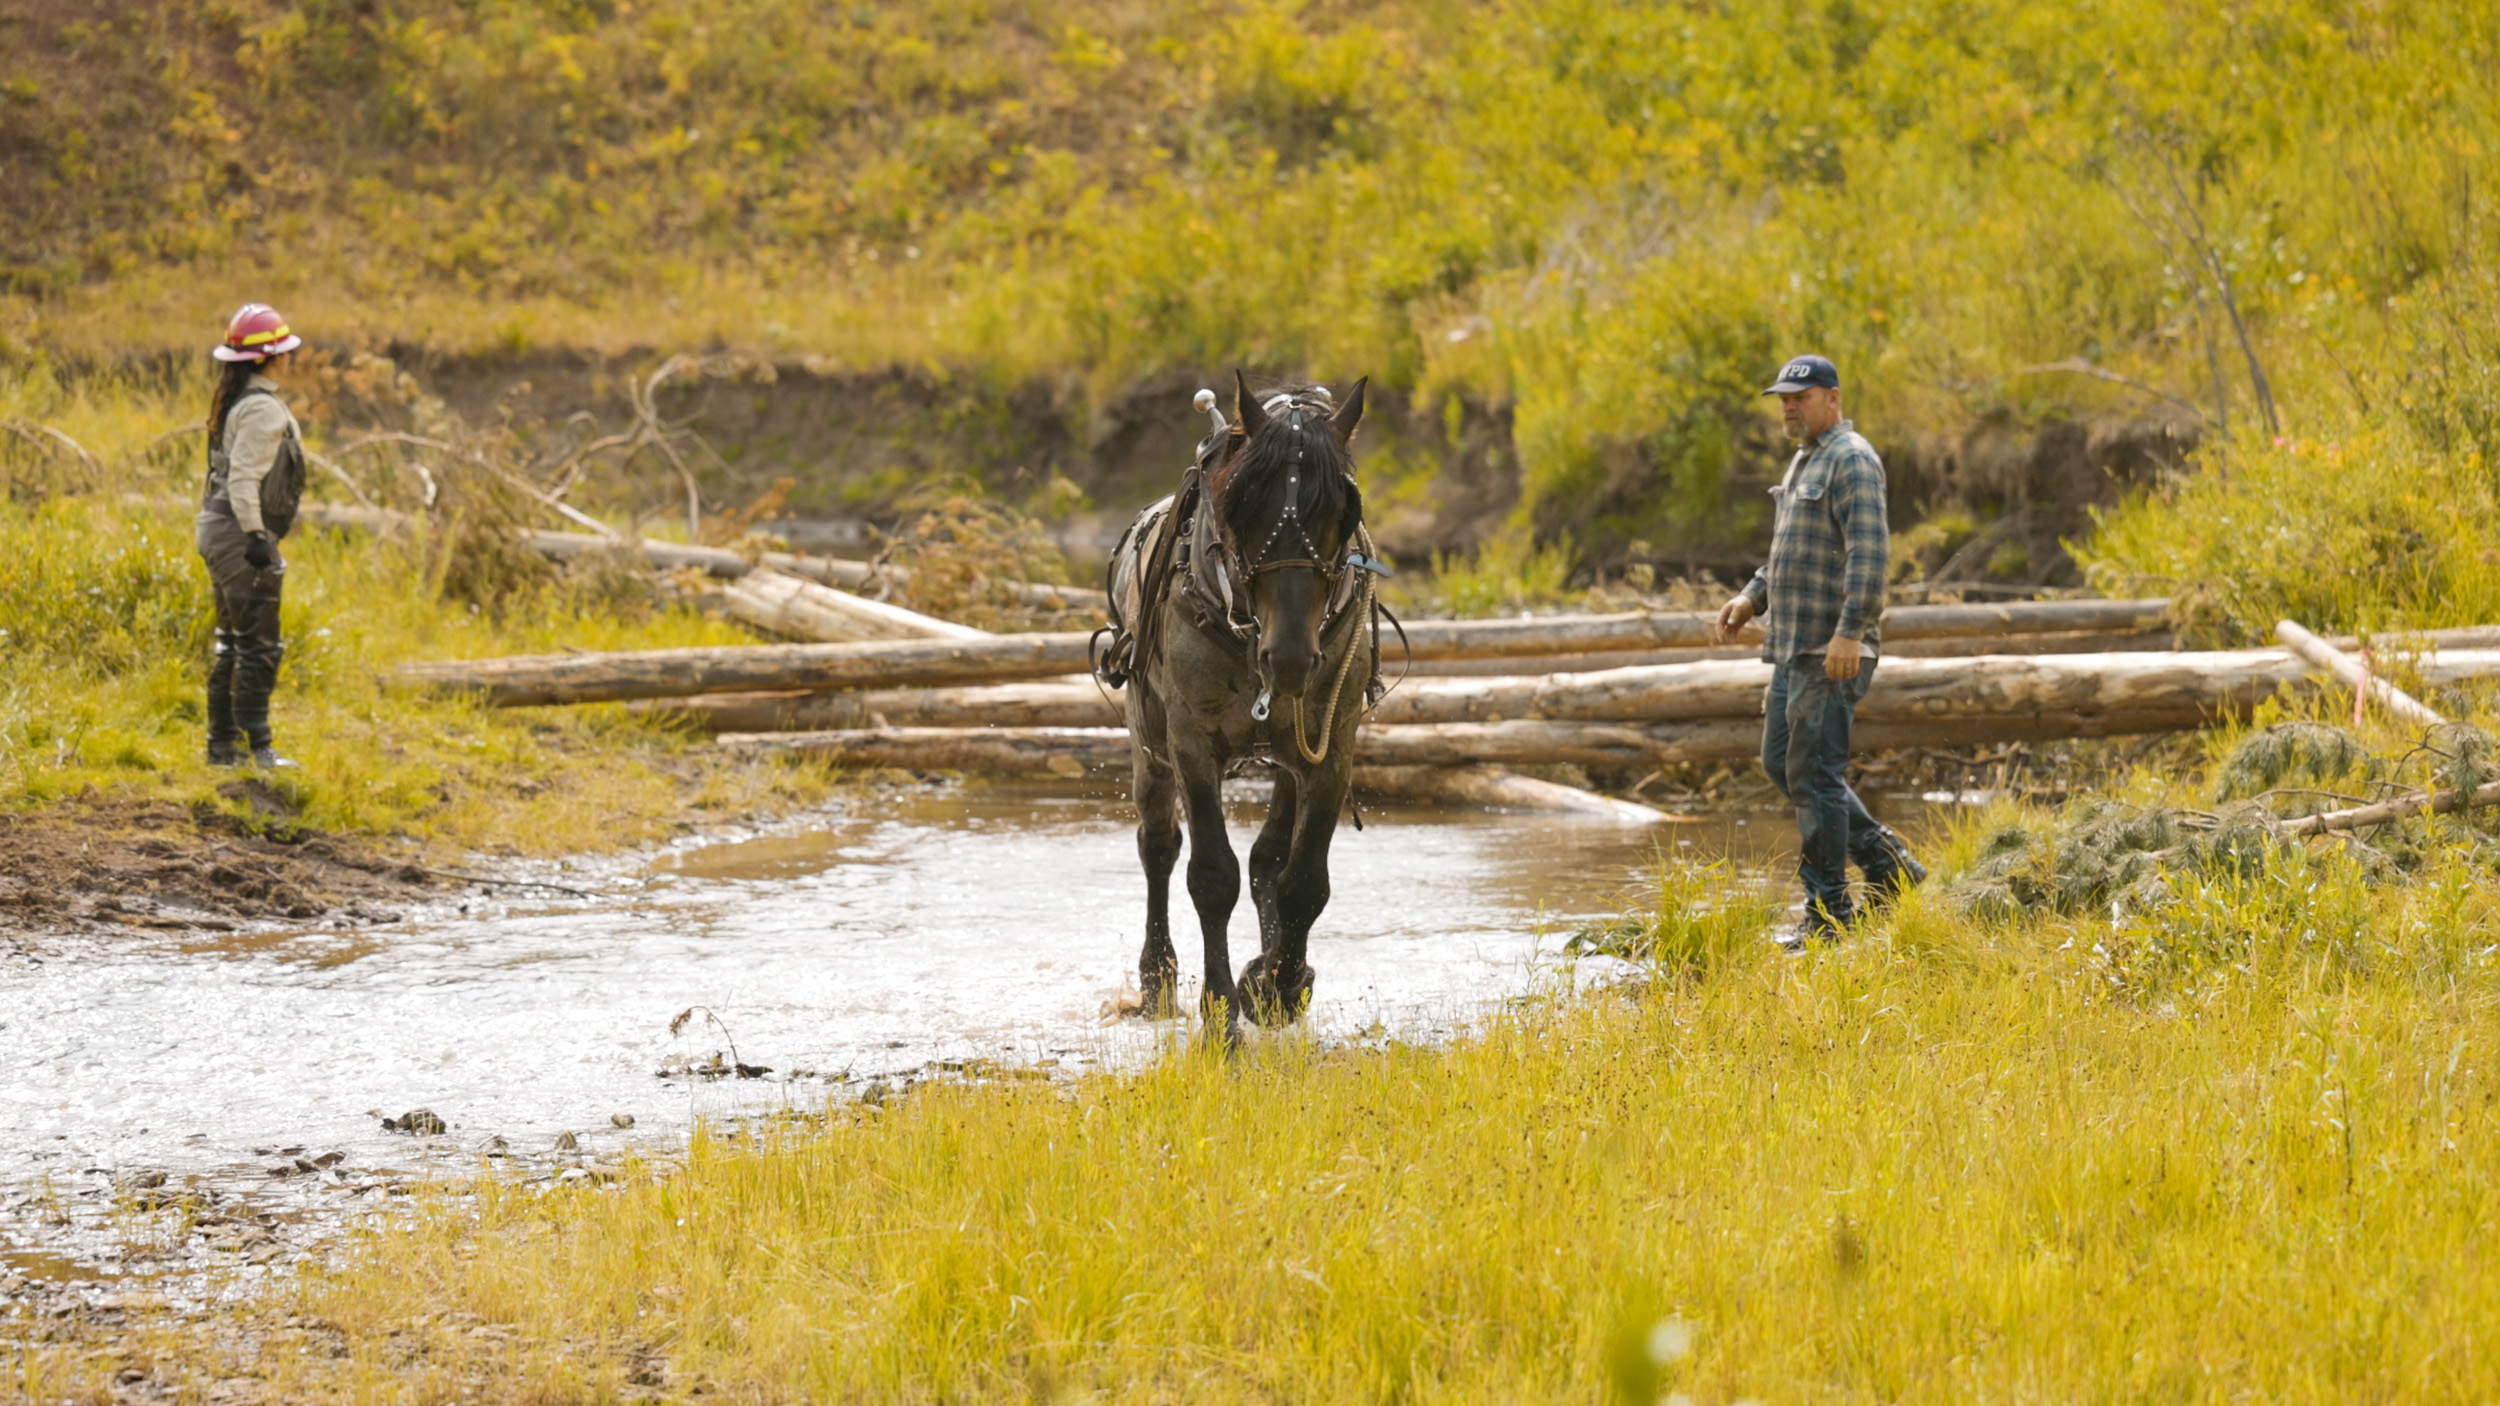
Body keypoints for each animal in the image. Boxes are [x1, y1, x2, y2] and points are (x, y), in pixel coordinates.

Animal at [1094, 372, 1388, 1036]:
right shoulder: (1191, 745)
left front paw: (1277, 983)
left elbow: (1302, 880)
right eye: (1243, 504)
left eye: (1344, 510)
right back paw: (1158, 978)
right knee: (1158, 846)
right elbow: (1211, 876)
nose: (1292, 658)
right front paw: (1221, 1012)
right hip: (1148, 742)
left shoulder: (1331, 745)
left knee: (1267, 860)